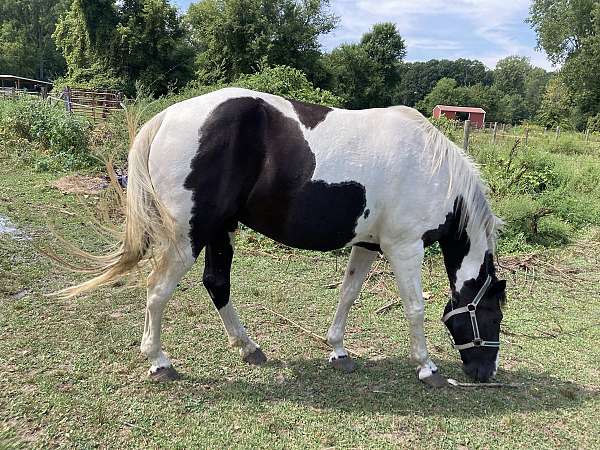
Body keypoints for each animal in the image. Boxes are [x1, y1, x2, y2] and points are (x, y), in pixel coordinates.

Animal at [63, 89, 506, 384]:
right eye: (494, 315)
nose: (484, 372)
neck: (433, 169)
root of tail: (167, 118)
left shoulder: (368, 244)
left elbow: (348, 294)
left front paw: (338, 350)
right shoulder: (405, 247)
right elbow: (414, 307)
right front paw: (427, 368)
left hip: (220, 229)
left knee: (216, 283)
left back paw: (249, 347)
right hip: (188, 236)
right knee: (158, 290)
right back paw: (159, 361)